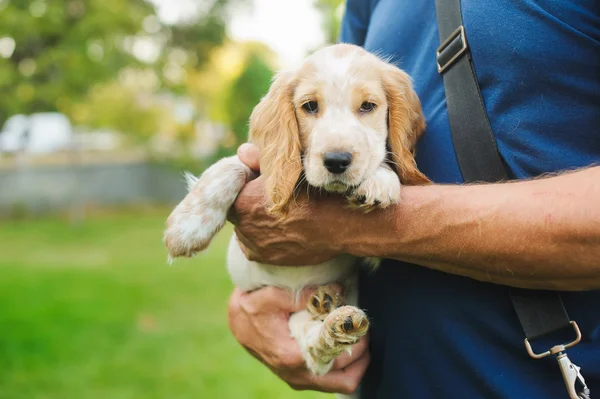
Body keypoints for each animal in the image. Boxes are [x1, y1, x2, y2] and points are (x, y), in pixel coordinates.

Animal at [162, 43, 428, 396]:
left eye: (368, 106)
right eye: (310, 106)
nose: (337, 161)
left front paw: (380, 180)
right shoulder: (259, 164)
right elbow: (228, 166)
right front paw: (186, 227)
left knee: (317, 355)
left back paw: (335, 323)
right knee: (313, 352)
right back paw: (329, 316)